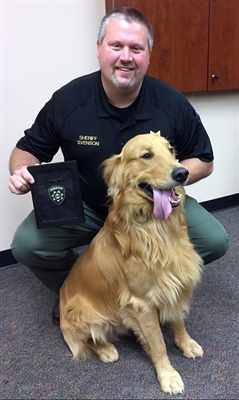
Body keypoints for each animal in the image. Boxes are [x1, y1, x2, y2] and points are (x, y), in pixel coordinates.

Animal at [59, 130, 204, 394]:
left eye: (171, 150)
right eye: (146, 155)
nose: (182, 173)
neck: (156, 228)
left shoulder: (173, 283)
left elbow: (178, 320)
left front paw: (186, 344)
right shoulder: (142, 303)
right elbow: (158, 344)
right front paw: (168, 375)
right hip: (82, 313)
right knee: (88, 340)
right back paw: (106, 350)